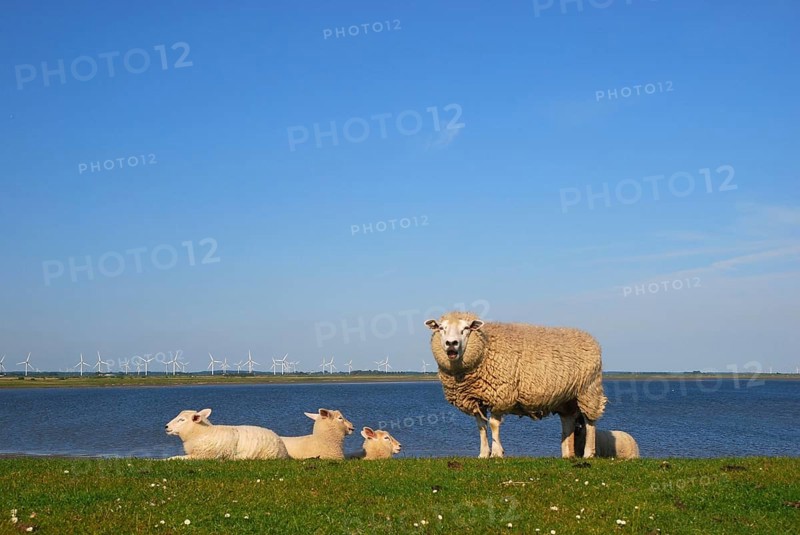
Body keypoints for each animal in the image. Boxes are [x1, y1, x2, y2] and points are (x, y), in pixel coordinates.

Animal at [425, 311, 607, 459]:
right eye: (441, 328)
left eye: (466, 328)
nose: (451, 343)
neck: (485, 349)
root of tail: (589, 337)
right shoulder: (475, 398)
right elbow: (481, 426)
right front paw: (483, 454)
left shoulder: (500, 394)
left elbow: (493, 424)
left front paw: (497, 453)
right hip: (566, 399)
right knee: (568, 422)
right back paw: (567, 455)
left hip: (588, 390)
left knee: (590, 422)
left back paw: (588, 453)